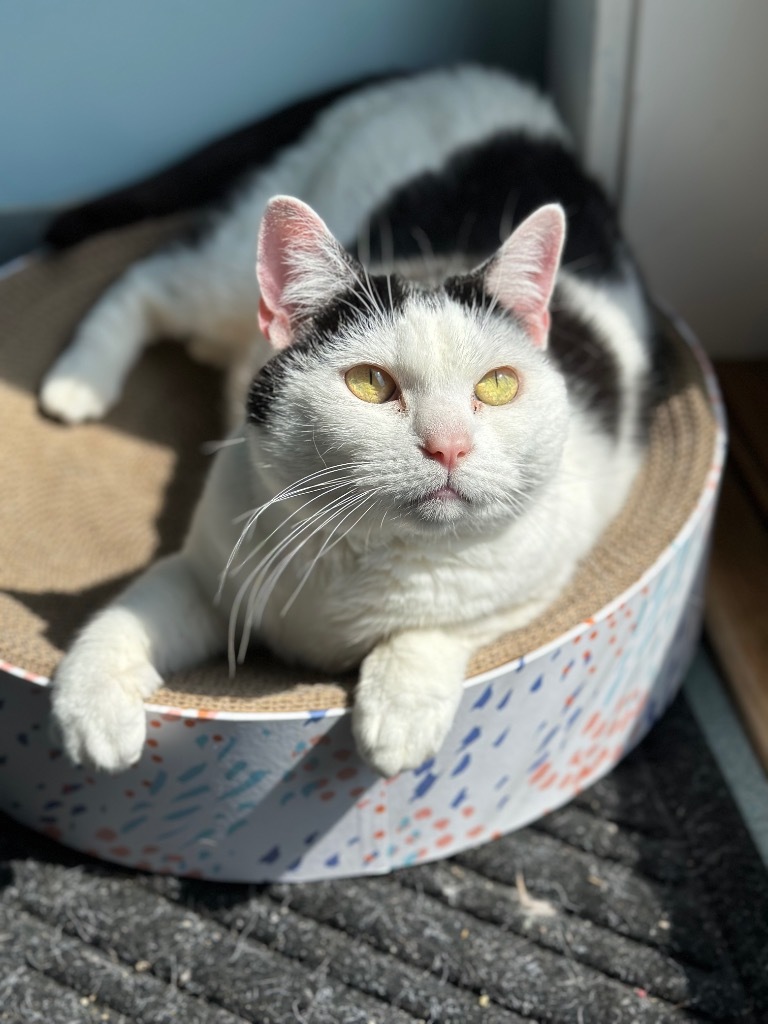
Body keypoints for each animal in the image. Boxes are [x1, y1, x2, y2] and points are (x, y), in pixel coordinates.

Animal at [40, 66, 655, 774]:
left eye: (497, 386)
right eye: (370, 383)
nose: (448, 447)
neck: (362, 560)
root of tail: (452, 71)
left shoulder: (542, 574)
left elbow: (438, 626)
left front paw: (398, 717)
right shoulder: (202, 573)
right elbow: (125, 615)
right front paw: (91, 712)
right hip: (223, 276)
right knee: (146, 281)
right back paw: (75, 385)